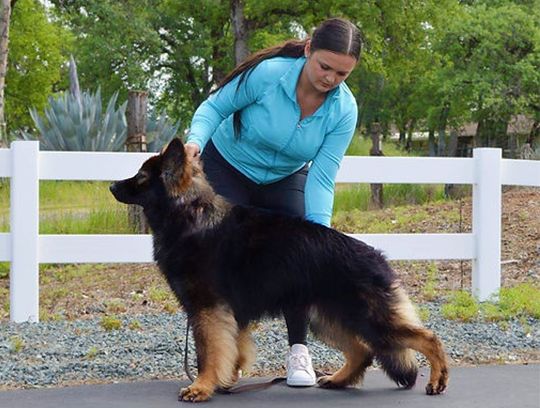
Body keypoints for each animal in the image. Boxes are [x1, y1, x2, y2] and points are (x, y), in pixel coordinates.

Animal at [109, 139, 448, 402]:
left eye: (140, 176)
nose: (111, 185)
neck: (190, 215)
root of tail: (377, 257)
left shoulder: (208, 310)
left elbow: (208, 352)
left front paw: (202, 386)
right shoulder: (227, 314)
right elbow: (232, 349)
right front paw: (225, 381)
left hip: (367, 319)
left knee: (428, 338)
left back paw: (437, 380)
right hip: (328, 318)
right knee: (363, 351)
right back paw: (338, 380)